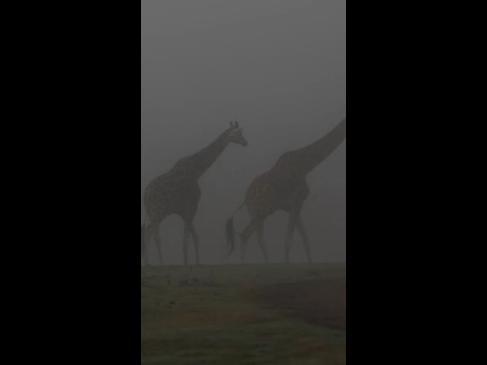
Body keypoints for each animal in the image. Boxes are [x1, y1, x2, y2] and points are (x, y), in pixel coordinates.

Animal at [142, 121, 248, 264]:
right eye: (238, 133)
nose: (245, 142)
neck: (197, 171)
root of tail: (145, 195)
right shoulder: (191, 207)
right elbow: (186, 240)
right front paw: (187, 263)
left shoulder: (185, 211)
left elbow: (194, 237)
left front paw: (197, 262)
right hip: (157, 211)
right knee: (154, 236)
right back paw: (161, 263)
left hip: (156, 213)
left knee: (147, 233)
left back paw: (148, 263)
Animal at [226, 118, 346, 264]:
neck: (305, 166)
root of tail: (245, 198)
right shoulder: (296, 201)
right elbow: (289, 239)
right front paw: (287, 263)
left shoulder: (294, 205)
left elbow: (305, 239)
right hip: (257, 211)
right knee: (252, 236)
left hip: (262, 213)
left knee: (247, 234)